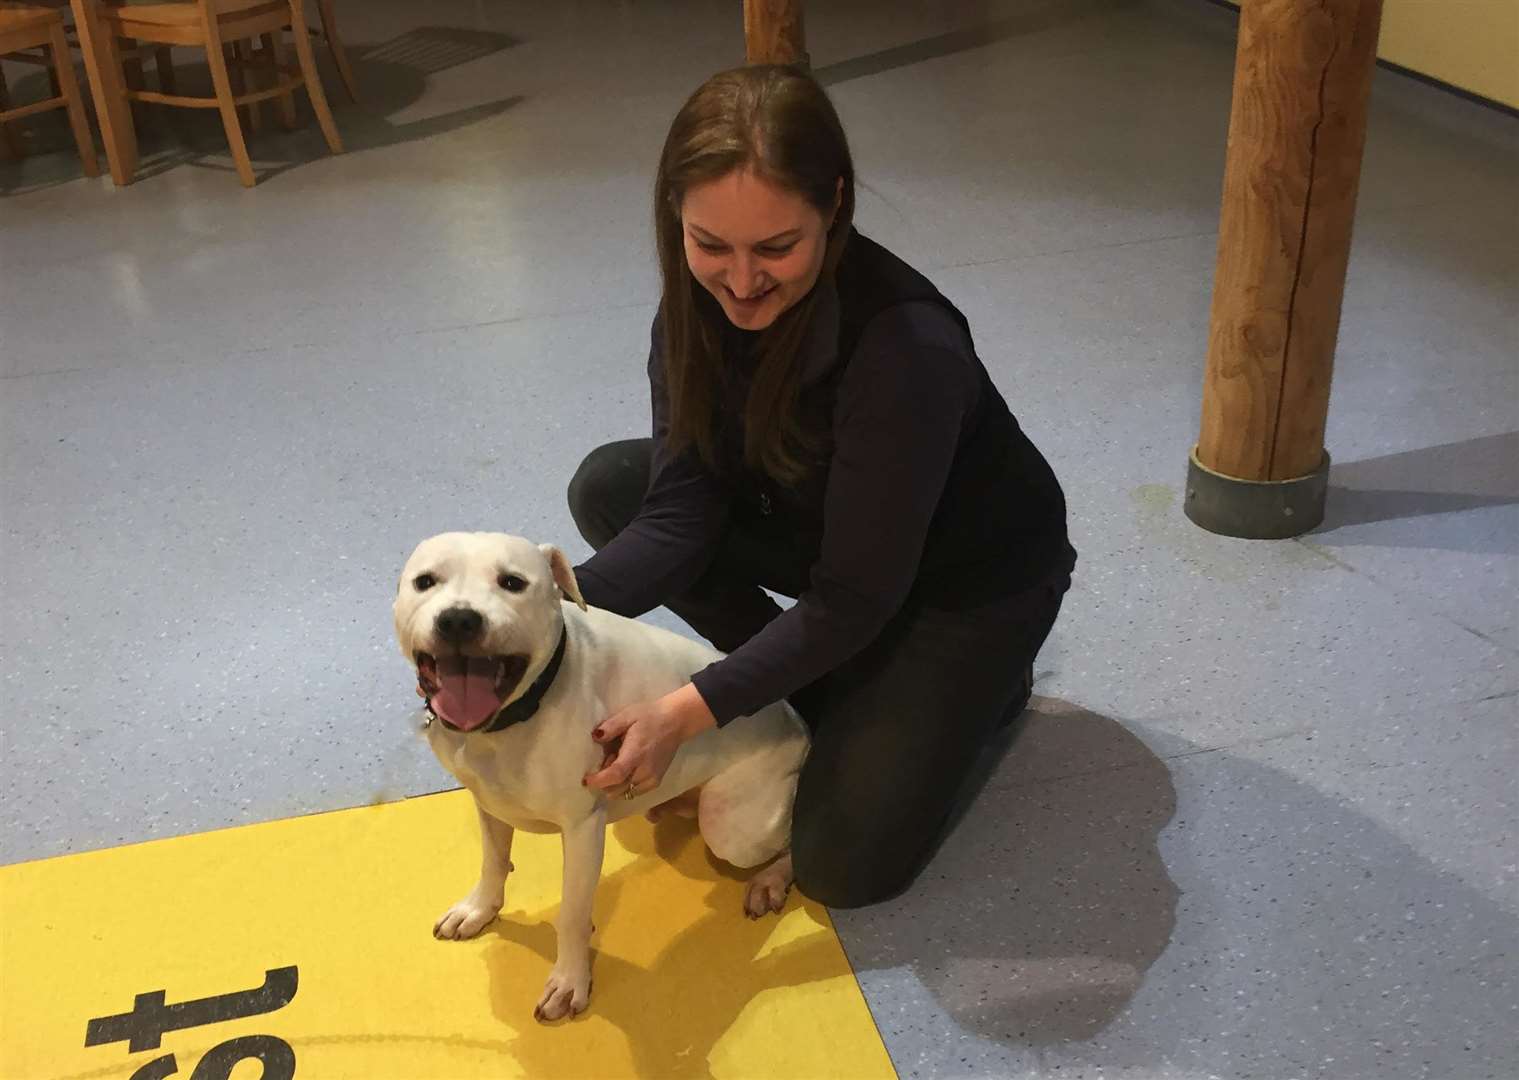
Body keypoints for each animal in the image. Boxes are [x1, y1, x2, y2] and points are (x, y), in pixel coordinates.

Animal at [397, 531, 814, 1020]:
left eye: (513, 582)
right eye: (425, 582)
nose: (459, 620)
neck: (512, 719)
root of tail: (798, 720)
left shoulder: (582, 828)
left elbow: (573, 914)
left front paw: (569, 980)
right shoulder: (488, 803)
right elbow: (494, 862)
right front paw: (480, 909)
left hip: (735, 830)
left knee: (790, 843)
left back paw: (771, 880)